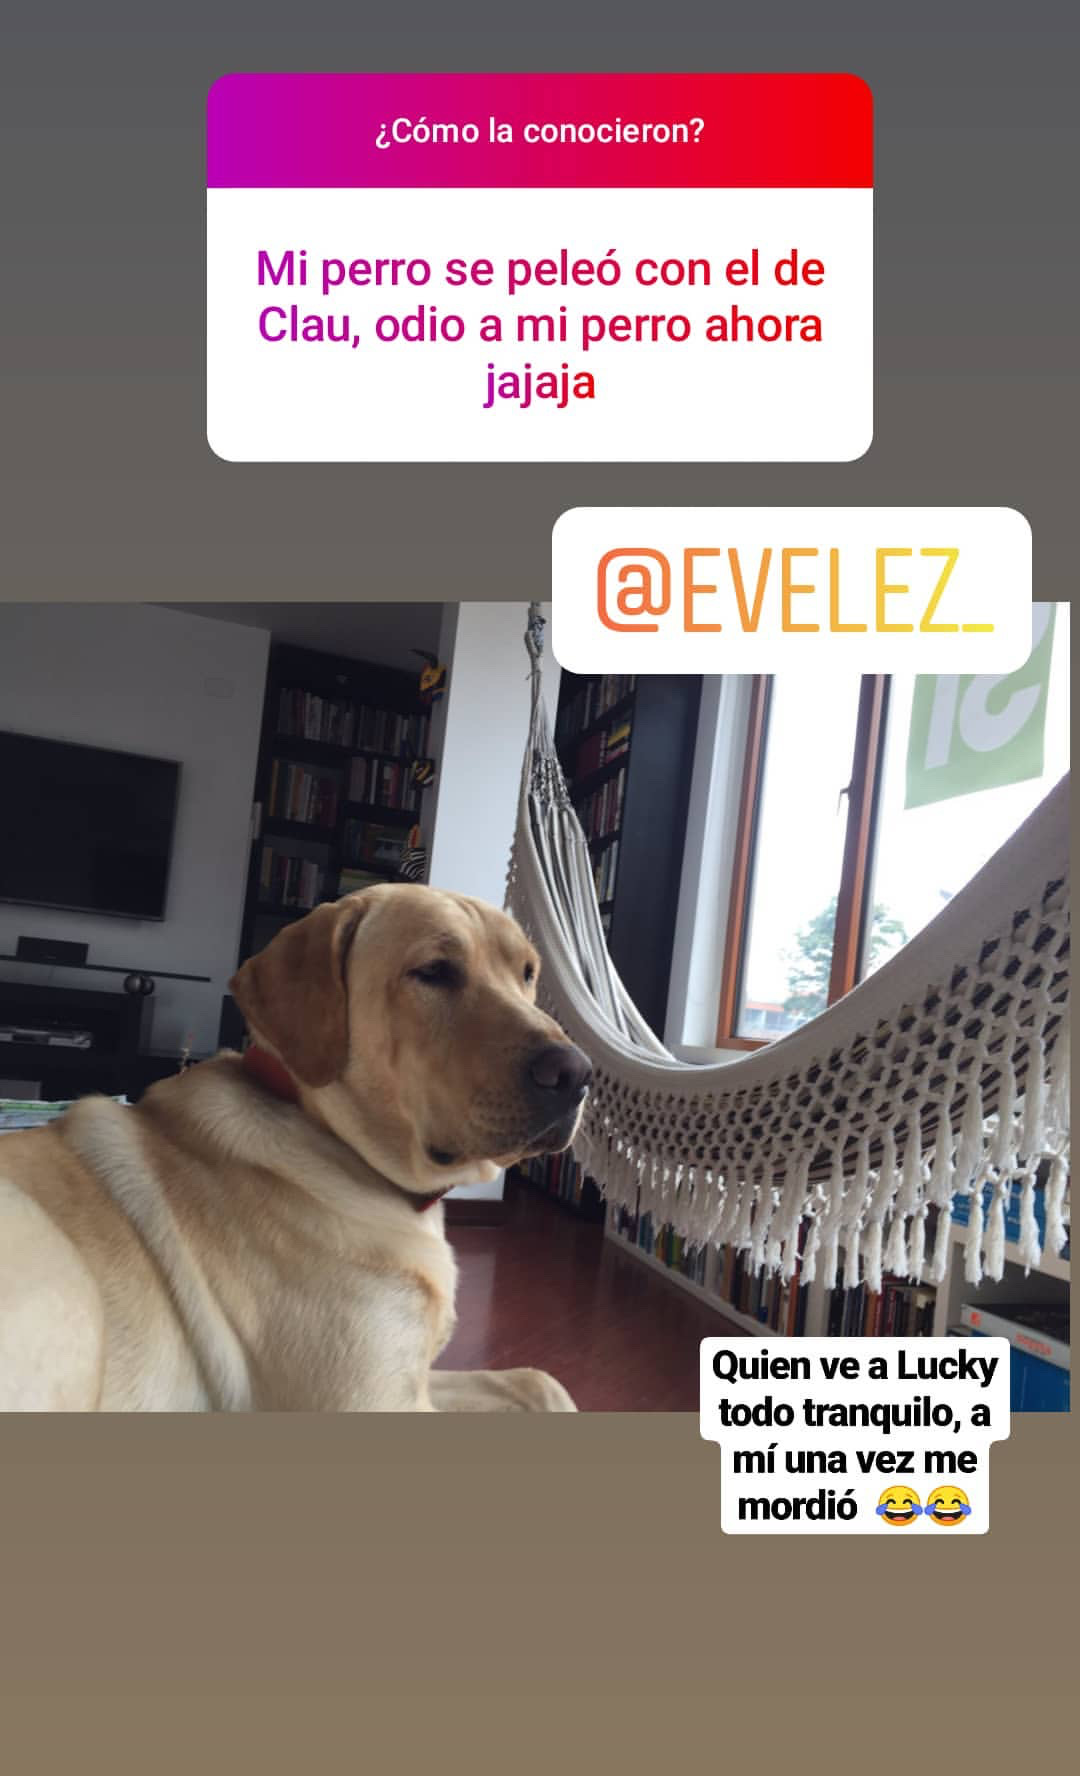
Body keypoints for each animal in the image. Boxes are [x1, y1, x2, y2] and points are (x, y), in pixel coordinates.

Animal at [0, 885, 592, 1412]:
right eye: (434, 971)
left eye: (527, 973)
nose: (578, 1075)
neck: (337, 1145)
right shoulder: (372, 1400)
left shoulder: (416, 1374)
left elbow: (540, 1380)